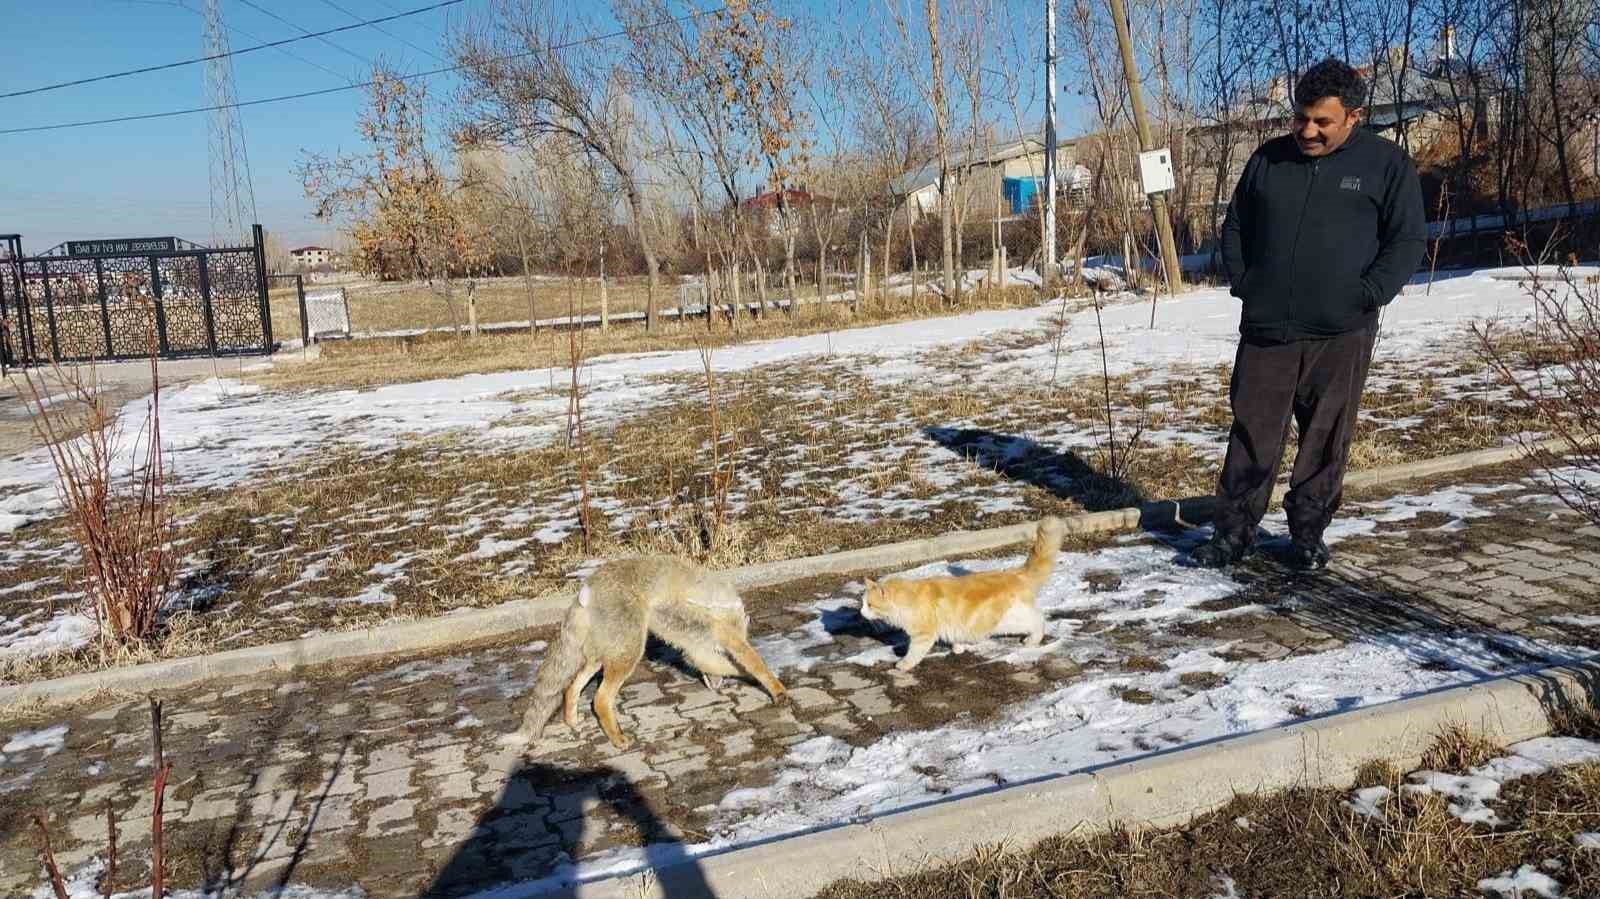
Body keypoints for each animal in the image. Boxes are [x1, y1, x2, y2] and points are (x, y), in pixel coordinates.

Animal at [512, 553, 787, 748]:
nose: (717, 687)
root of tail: (586, 589)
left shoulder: (695, 648)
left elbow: (725, 666)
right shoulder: (722, 638)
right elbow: (754, 664)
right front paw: (777, 690)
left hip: (599, 656)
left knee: (571, 687)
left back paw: (573, 721)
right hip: (629, 652)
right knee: (600, 700)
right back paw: (618, 740)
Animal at [857, 515, 1068, 668]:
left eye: (869, 604)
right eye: (863, 604)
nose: (861, 612)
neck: (907, 598)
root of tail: (1015, 573)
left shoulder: (923, 635)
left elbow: (914, 653)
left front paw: (903, 664)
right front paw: (958, 647)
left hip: (1011, 620)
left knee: (1038, 620)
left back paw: (1032, 640)